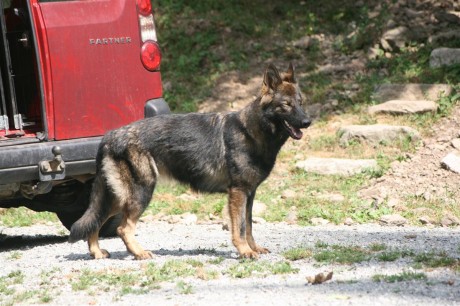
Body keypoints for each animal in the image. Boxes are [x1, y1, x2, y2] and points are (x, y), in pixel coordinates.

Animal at [68, 63, 310, 260]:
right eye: (286, 105)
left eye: (300, 103)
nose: (308, 121)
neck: (252, 131)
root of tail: (109, 136)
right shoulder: (238, 193)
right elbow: (240, 227)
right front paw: (244, 251)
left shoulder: (249, 195)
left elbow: (248, 226)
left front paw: (253, 248)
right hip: (139, 193)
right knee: (123, 229)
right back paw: (139, 253)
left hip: (118, 198)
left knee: (95, 220)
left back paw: (97, 253)